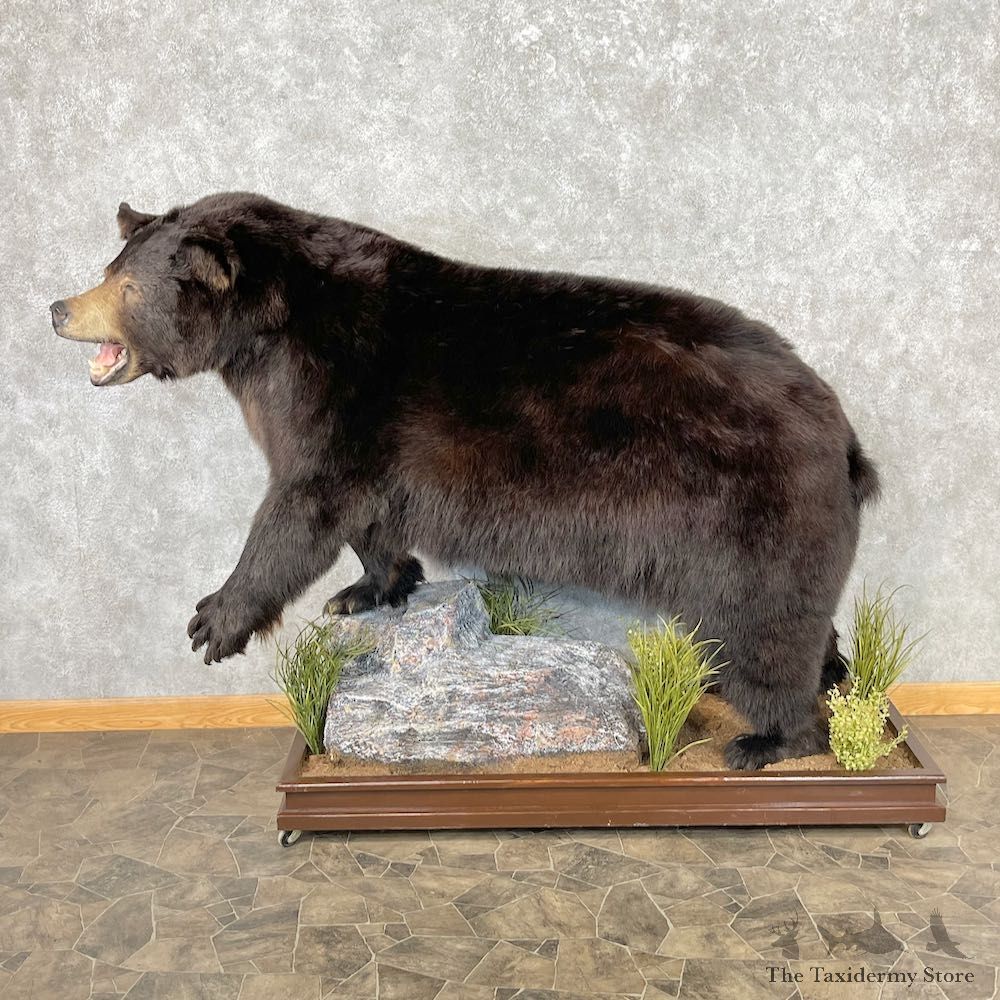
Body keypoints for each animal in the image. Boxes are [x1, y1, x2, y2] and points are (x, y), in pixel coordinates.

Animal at [51, 192, 878, 769]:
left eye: (127, 287)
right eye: (108, 270)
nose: (58, 308)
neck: (270, 332)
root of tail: (845, 438)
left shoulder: (335, 388)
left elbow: (300, 507)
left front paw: (215, 619)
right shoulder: (368, 437)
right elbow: (366, 516)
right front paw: (368, 590)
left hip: (752, 513)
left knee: (766, 629)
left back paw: (769, 740)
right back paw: (829, 673)